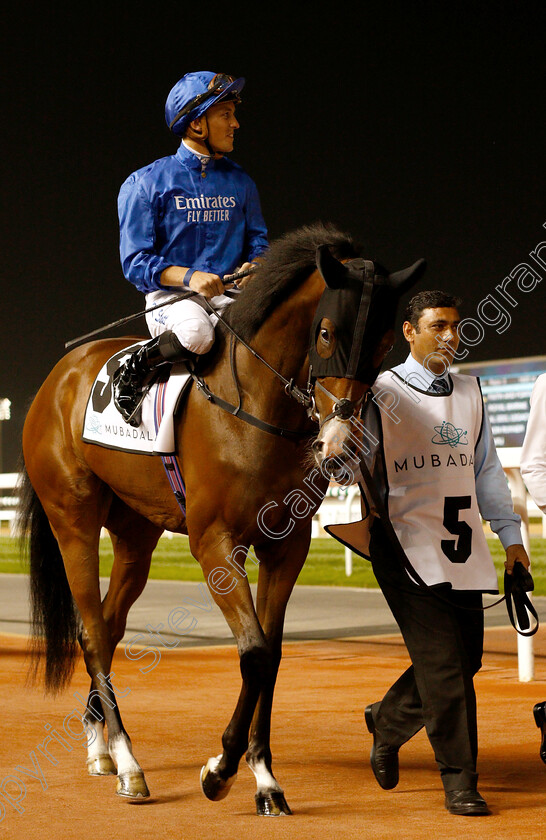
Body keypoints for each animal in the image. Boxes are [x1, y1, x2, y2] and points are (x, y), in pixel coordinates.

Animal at [19, 221, 422, 812]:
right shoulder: (214, 543)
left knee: (111, 629)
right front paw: (221, 769)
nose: (340, 444)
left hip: (136, 535)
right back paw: (129, 763)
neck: (255, 406)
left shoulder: (286, 547)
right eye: (326, 333)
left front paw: (266, 778)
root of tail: (57, 378)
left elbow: (271, 655)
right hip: (74, 521)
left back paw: (101, 746)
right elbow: (252, 652)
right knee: (91, 634)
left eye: (386, 340)